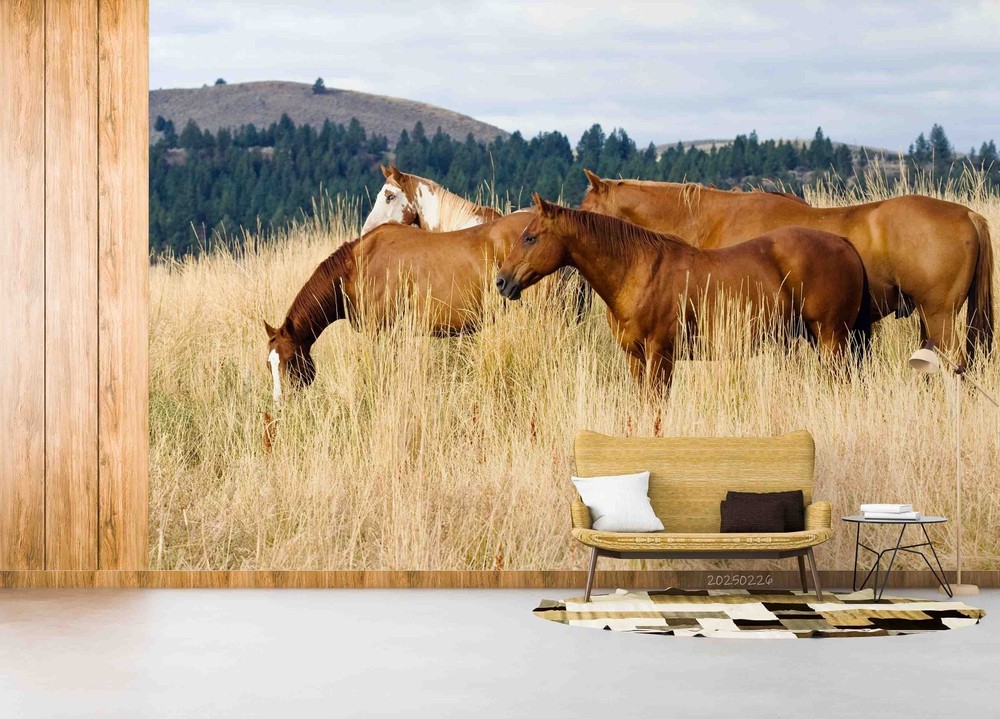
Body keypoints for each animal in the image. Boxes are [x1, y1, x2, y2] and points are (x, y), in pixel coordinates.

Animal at [495, 195, 872, 392]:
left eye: (530, 237)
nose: (502, 281)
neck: (638, 272)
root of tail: (844, 243)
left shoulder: (660, 355)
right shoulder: (636, 358)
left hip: (832, 339)